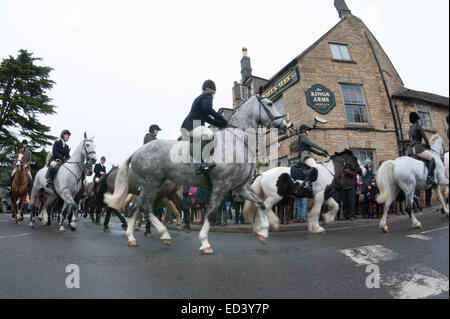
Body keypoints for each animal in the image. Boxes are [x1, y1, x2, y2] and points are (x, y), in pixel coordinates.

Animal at [104, 94, 290, 254]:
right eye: (270, 104)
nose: (286, 125)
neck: (235, 141)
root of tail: (137, 152)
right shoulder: (221, 185)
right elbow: (211, 212)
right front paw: (205, 243)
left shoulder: (240, 187)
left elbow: (260, 203)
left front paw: (264, 232)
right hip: (152, 183)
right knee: (146, 208)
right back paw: (163, 233)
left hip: (150, 185)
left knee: (137, 207)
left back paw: (132, 237)